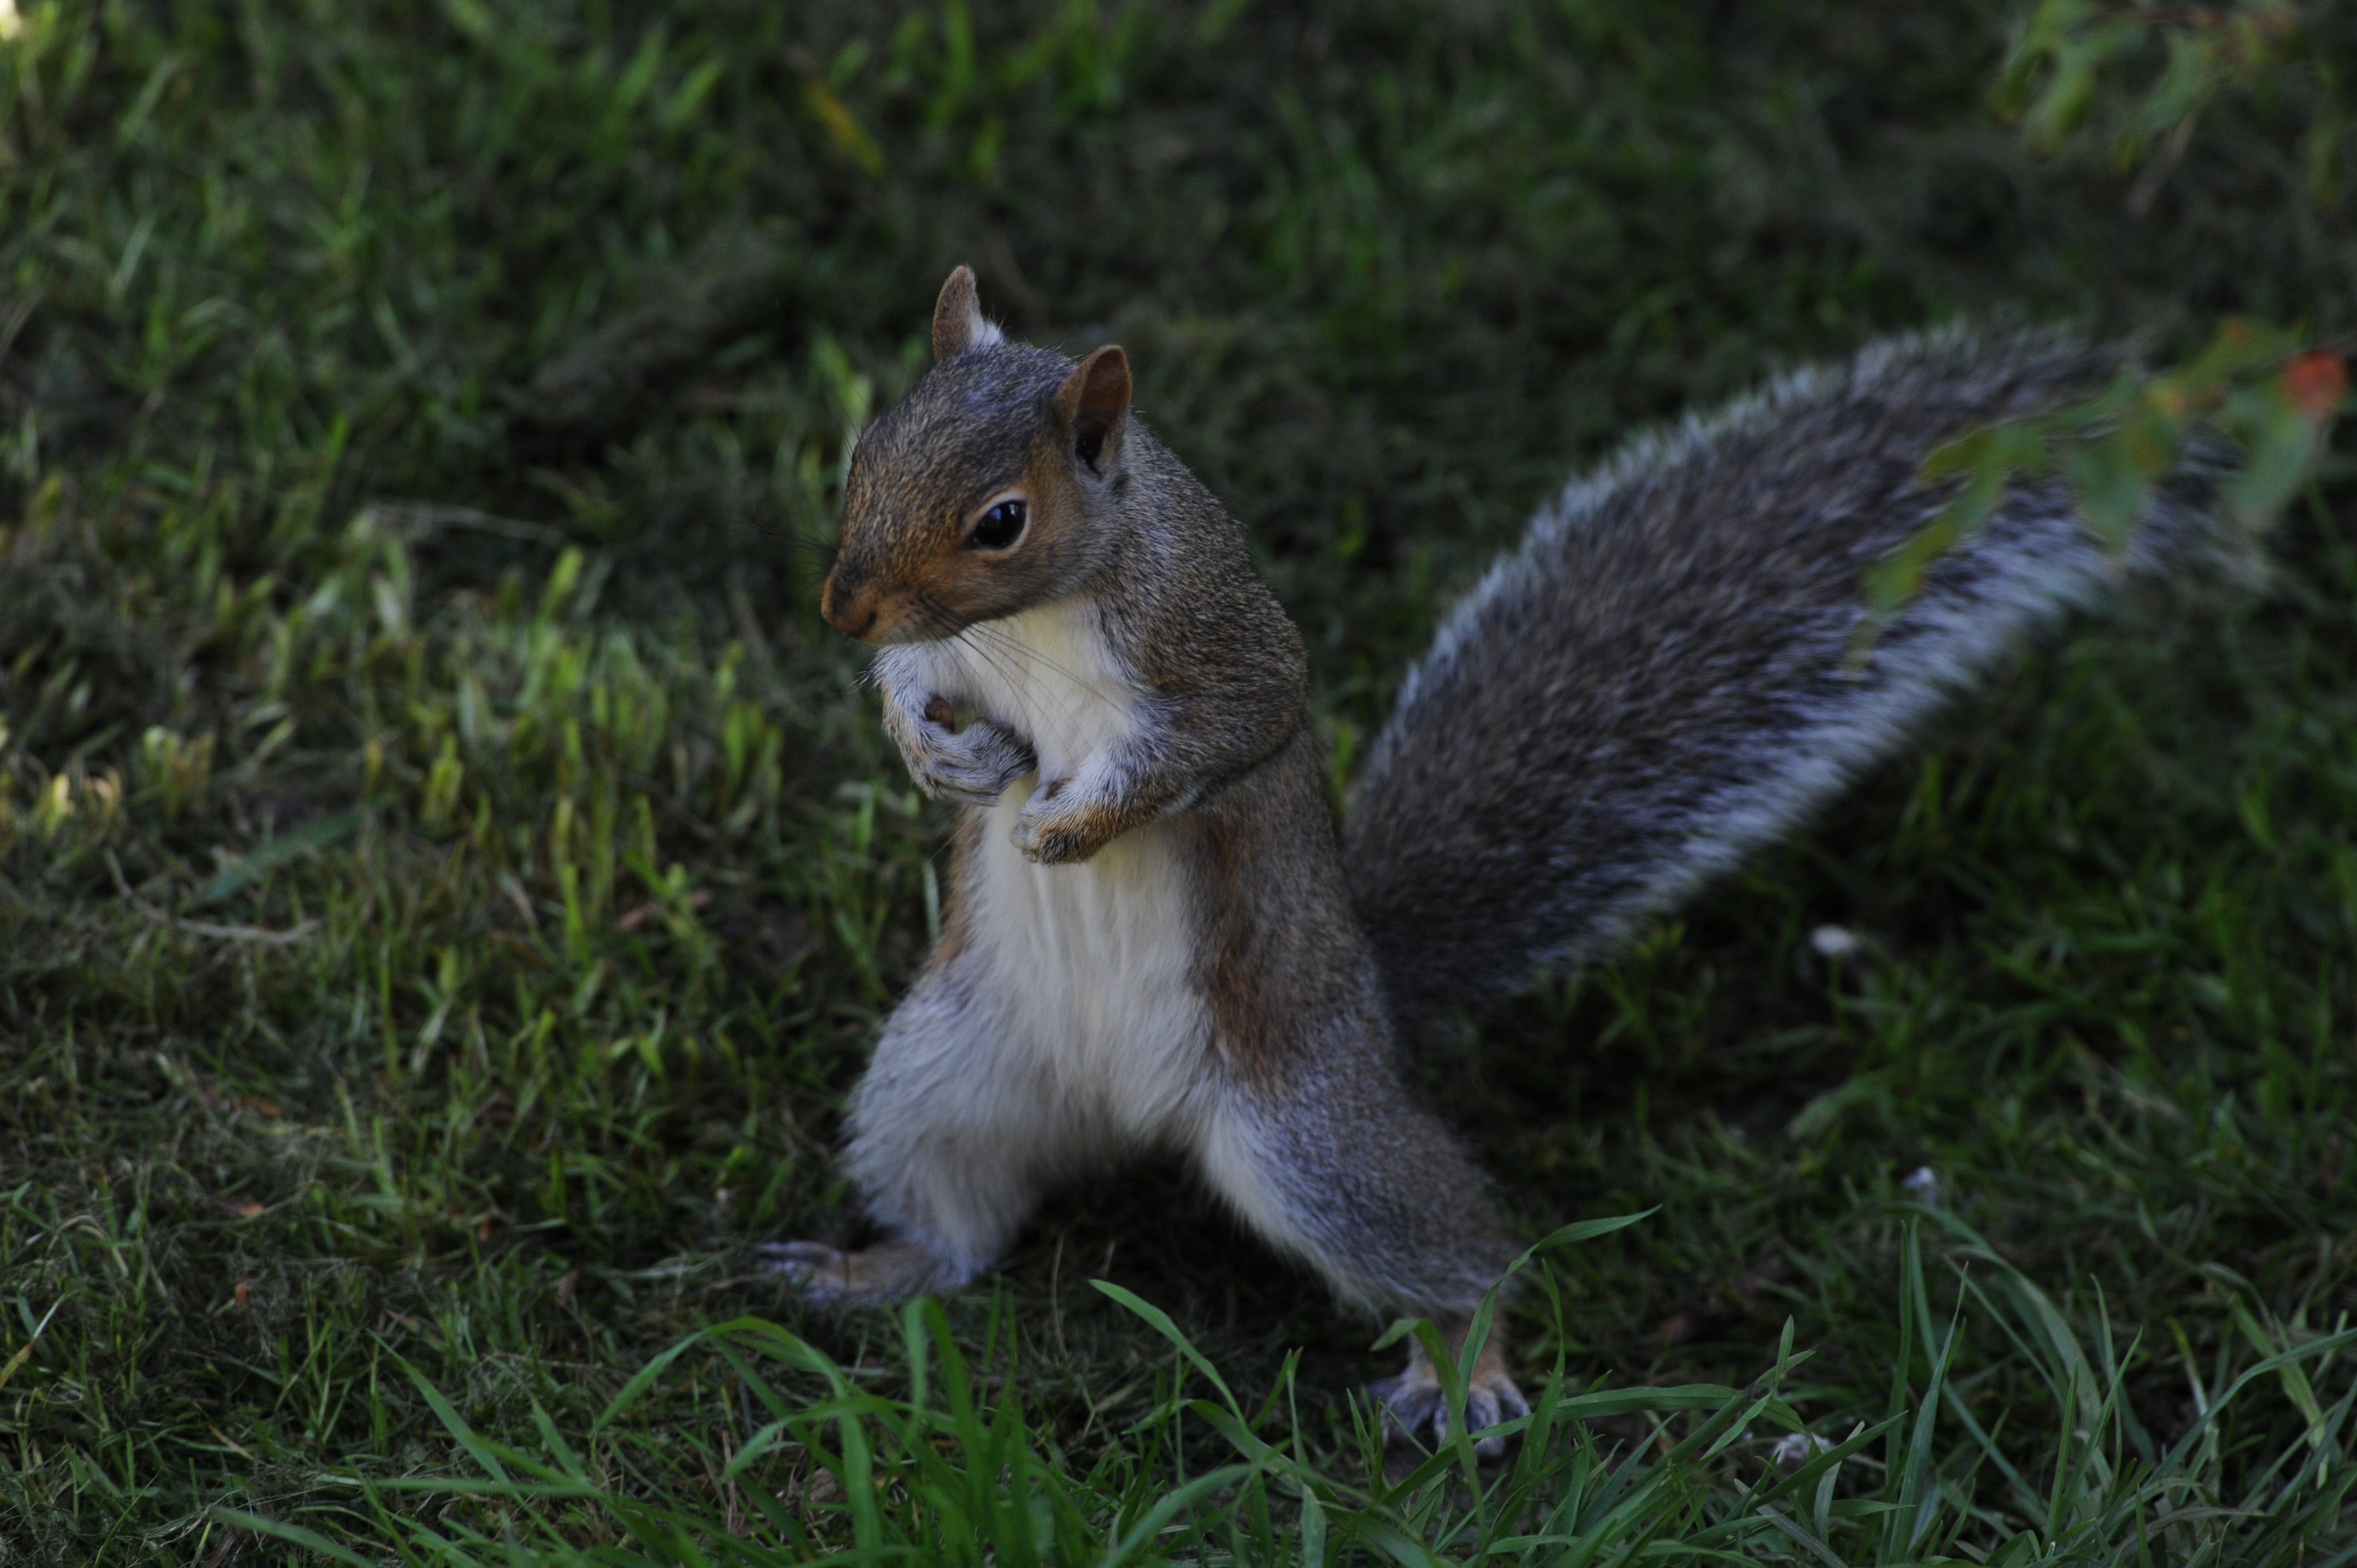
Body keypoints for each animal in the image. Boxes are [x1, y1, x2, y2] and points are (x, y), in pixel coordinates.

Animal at [763, 266, 2226, 1448]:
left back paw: (1464, 1371)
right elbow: (919, 683)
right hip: (943, 1072)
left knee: (1465, 1250)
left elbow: (1221, 736)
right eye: (869, 447)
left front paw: (1070, 821)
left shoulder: (1220, 646)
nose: (839, 603)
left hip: (1310, 1139)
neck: (1037, 622)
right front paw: (935, 756)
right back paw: (864, 1274)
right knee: (959, 1227)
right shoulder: (958, 663)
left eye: (1001, 520)